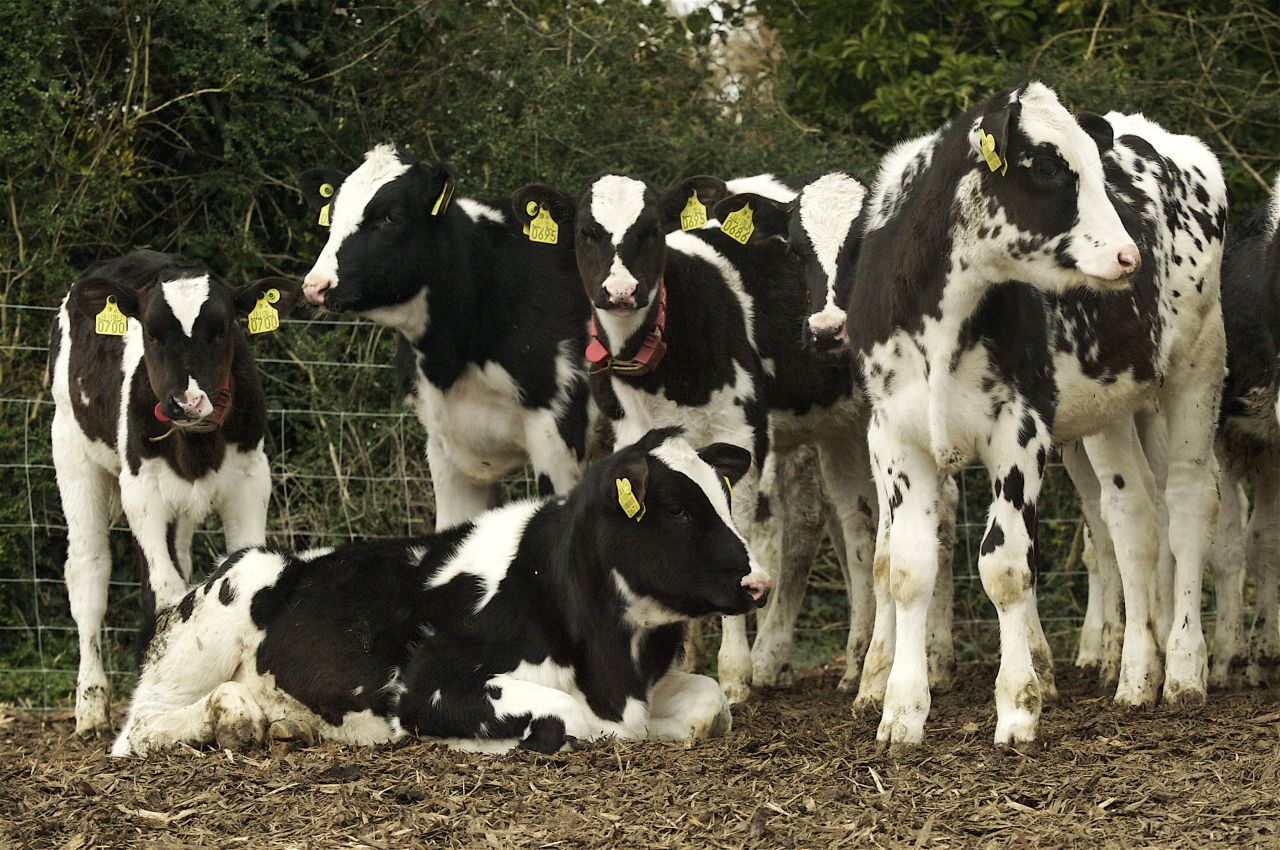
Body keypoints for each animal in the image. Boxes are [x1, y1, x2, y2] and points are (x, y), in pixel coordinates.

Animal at [50, 250, 297, 734]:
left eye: (222, 328)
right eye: (151, 331)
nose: (186, 402)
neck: (197, 443)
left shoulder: (251, 478)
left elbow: (242, 565)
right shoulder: (142, 490)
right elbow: (162, 588)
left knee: (179, 560)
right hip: (72, 449)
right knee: (89, 571)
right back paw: (91, 707)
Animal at [110, 428, 770, 757]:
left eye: (723, 493)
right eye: (678, 509)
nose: (758, 580)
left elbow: (710, 703)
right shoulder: (423, 682)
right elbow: (563, 719)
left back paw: (286, 724)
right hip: (218, 613)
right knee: (140, 727)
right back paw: (232, 717)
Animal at [769, 82, 1225, 747]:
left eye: (1096, 168)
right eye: (1048, 167)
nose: (1128, 255)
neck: (942, 316)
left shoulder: (1020, 430)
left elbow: (1007, 566)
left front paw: (1017, 706)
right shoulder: (894, 436)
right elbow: (905, 568)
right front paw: (899, 710)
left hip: (1197, 366)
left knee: (1189, 500)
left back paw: (1185, 668)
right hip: (1112, 406)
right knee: (1132, 517)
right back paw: (1139, 672)